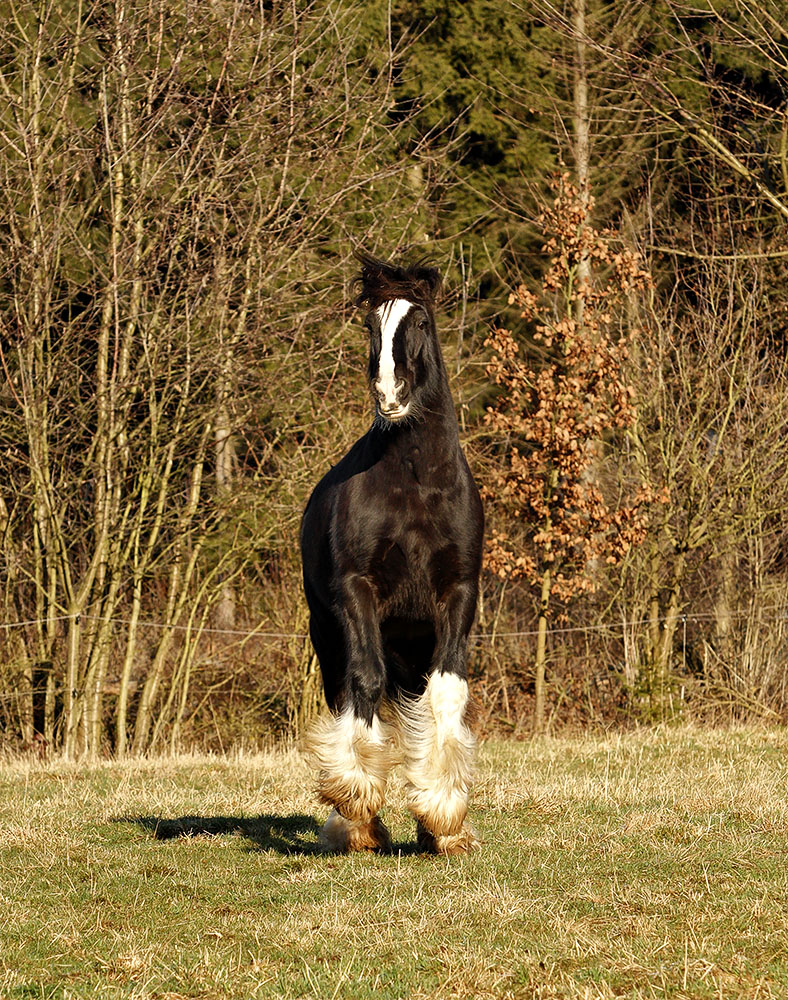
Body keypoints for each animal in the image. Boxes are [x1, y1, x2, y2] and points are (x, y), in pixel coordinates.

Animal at [302, 254, 484, 856]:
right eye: (370, 325)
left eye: (420, 321)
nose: (390, 393)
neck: (418, 484)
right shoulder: (358, 591)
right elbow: (364, 682)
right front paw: (357, 801)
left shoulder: (458, 592)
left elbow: (446, 693)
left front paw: (444, 814)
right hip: (329, 632)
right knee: (348, 691)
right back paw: (356, 824)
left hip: (412, 636)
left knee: (413, 703)